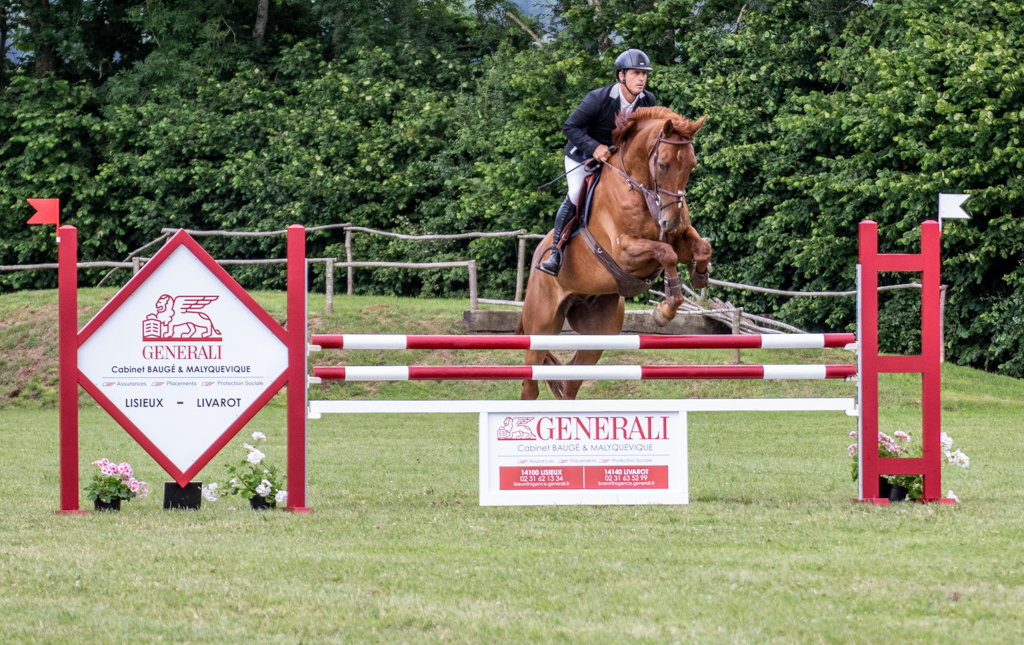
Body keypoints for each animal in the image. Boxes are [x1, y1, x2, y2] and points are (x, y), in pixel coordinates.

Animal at [518, 107, 711, 400]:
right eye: (663, 165)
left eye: (692, 164)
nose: (670, 222)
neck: (642, 188)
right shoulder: (624, 252)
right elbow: (666, 253)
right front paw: (664, 310)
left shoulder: (679, 238)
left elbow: (701, 247)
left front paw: (699, 277)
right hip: (541, 327)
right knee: (530, 383)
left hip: (599, 330)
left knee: (571, 379)